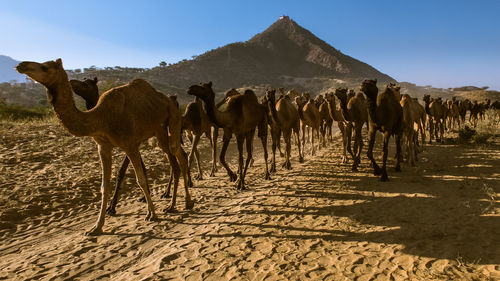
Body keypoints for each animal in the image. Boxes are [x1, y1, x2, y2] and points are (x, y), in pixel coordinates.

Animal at [16, 59, 193, 234]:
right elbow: (104, 186)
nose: (21, 65)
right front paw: (97, 226)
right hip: (160, 130)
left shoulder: (130, 144)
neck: (102, 117)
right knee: (174, 161)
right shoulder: (103, 147)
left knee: (179, 155)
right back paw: (173, 204)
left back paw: (185, 203)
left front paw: (151, 213)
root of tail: (169, 99)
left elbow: (140, 179)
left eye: (44, 67)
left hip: (173, 118)